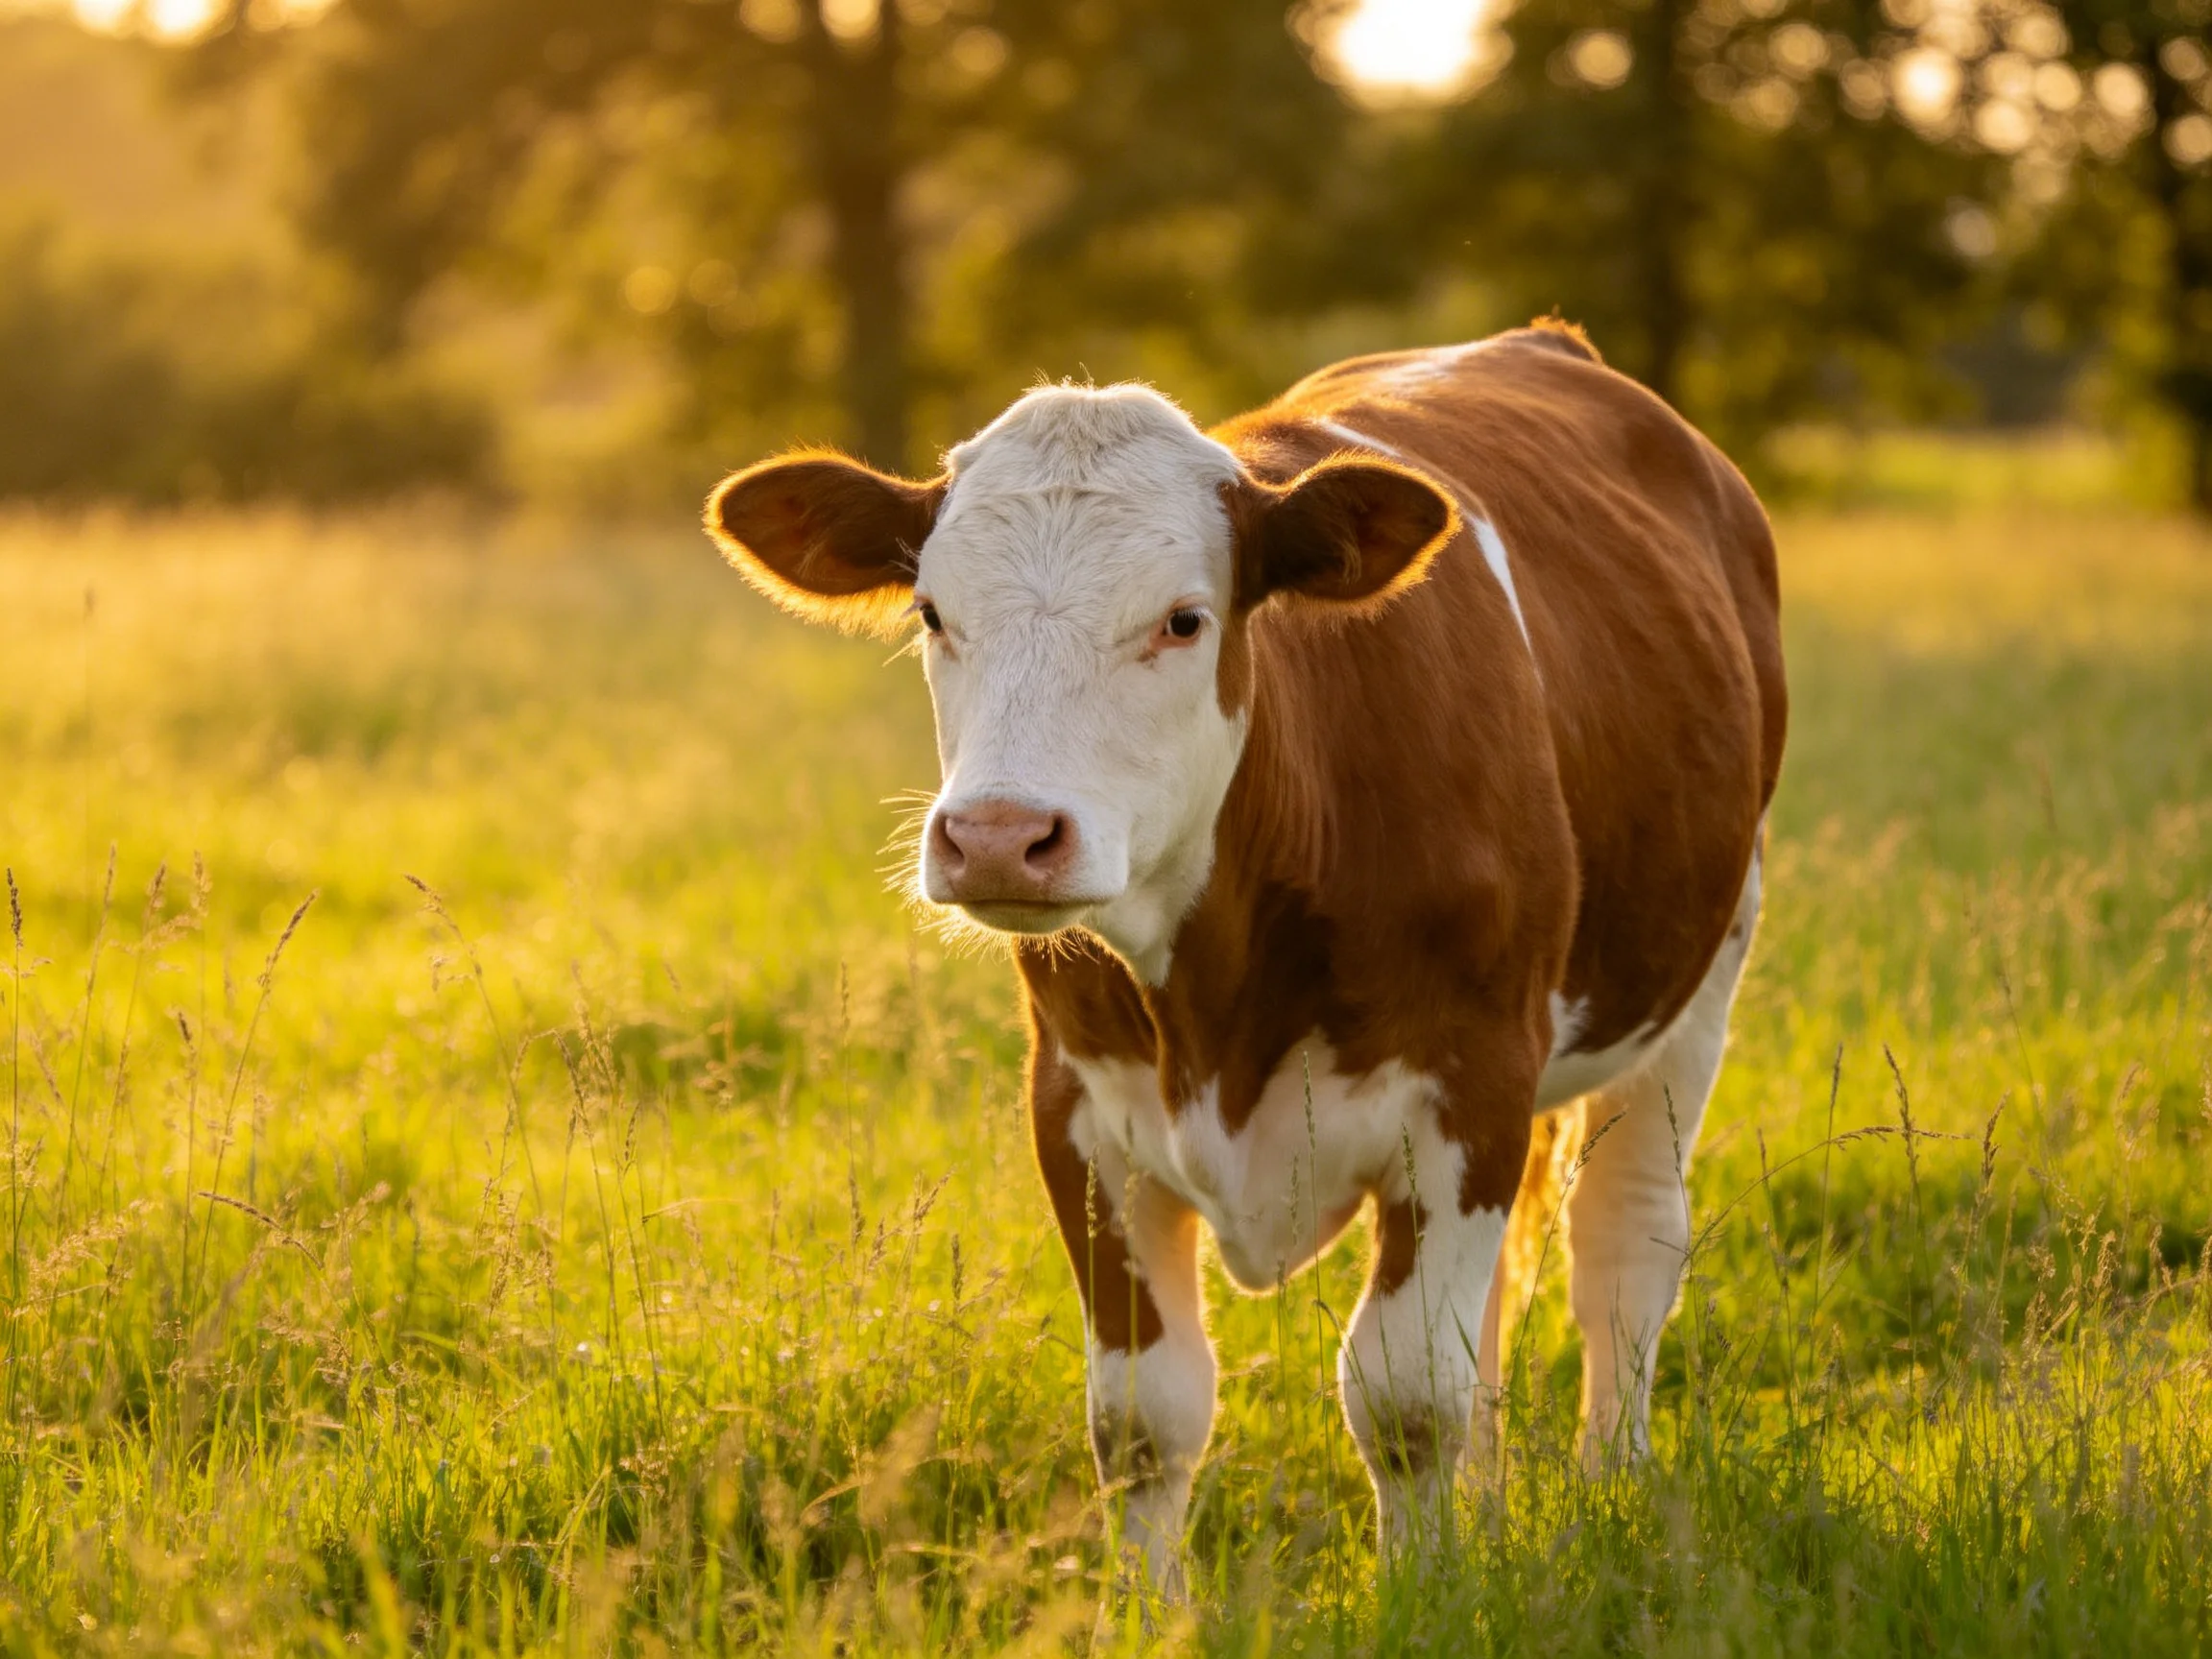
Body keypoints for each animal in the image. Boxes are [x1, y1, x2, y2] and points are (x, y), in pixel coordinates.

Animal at [705, 322, 1786, 1595]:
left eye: (1183, 619)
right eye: (930, 612)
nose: (999, 837)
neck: (1219, 1003)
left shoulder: (1472, 1085)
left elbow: (1405, 1396)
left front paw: (1425, 1597)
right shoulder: (1076, 1105)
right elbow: (1144, 1415)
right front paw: (1145, 1609)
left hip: (1700, 974)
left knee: (1623, 1250)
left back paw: (1613, 1486)